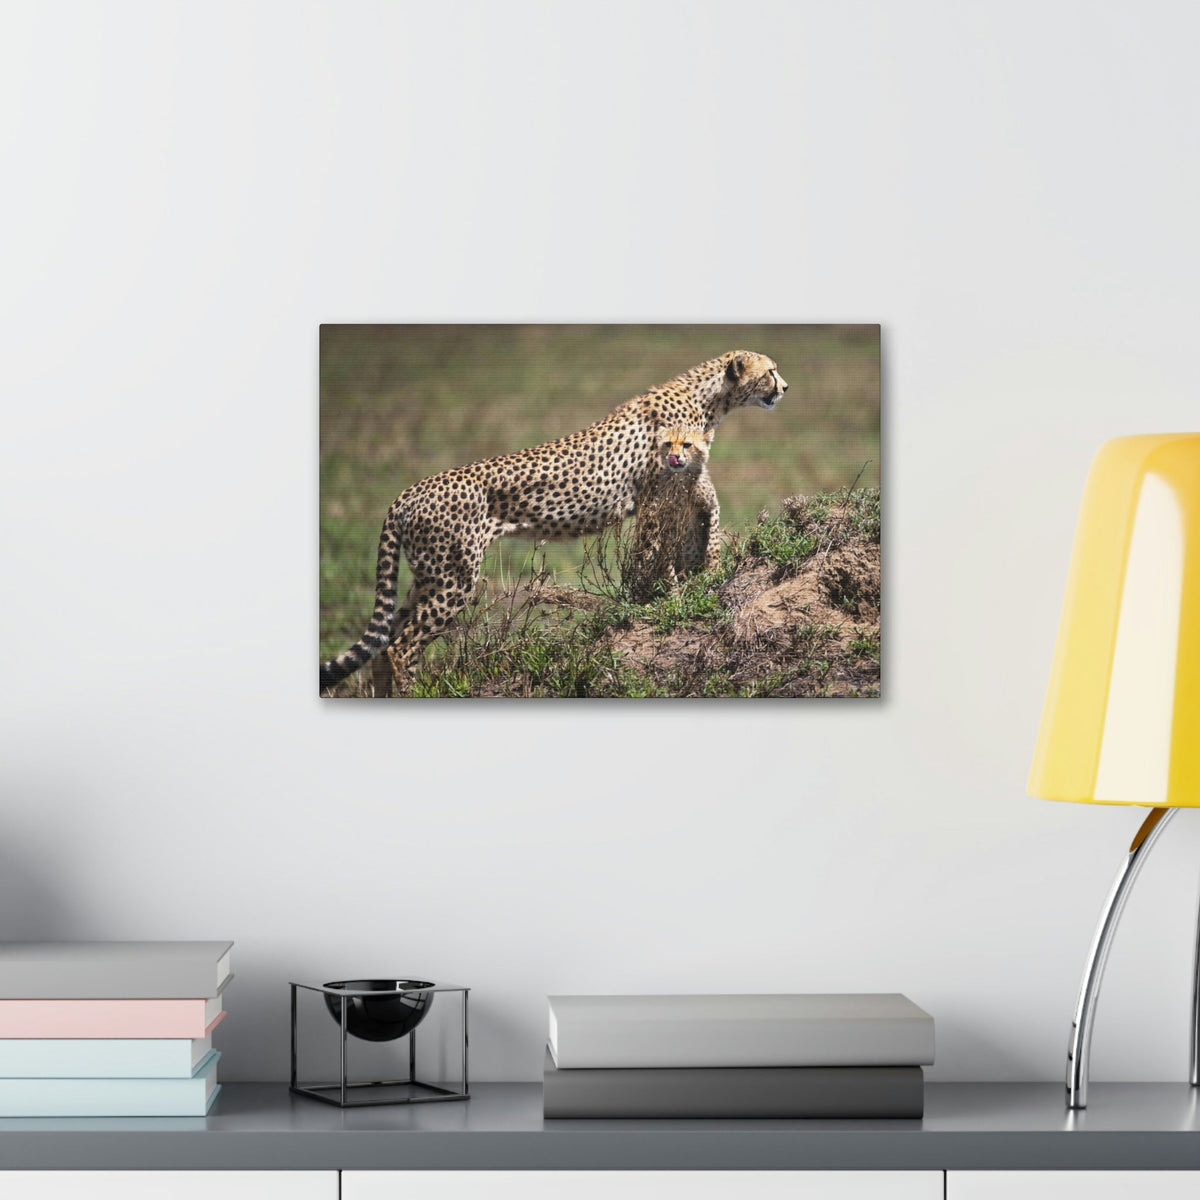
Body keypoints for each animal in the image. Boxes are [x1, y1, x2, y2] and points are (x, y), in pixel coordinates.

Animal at [625, 424, 720, 602]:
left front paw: (714, 567)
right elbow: (667, 561)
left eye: (687, 445)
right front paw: (674, 595)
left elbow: (714, 540)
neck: (684, 477)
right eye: (668, 444)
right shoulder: (667, 524)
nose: (674, 456)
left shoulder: (712, 507)